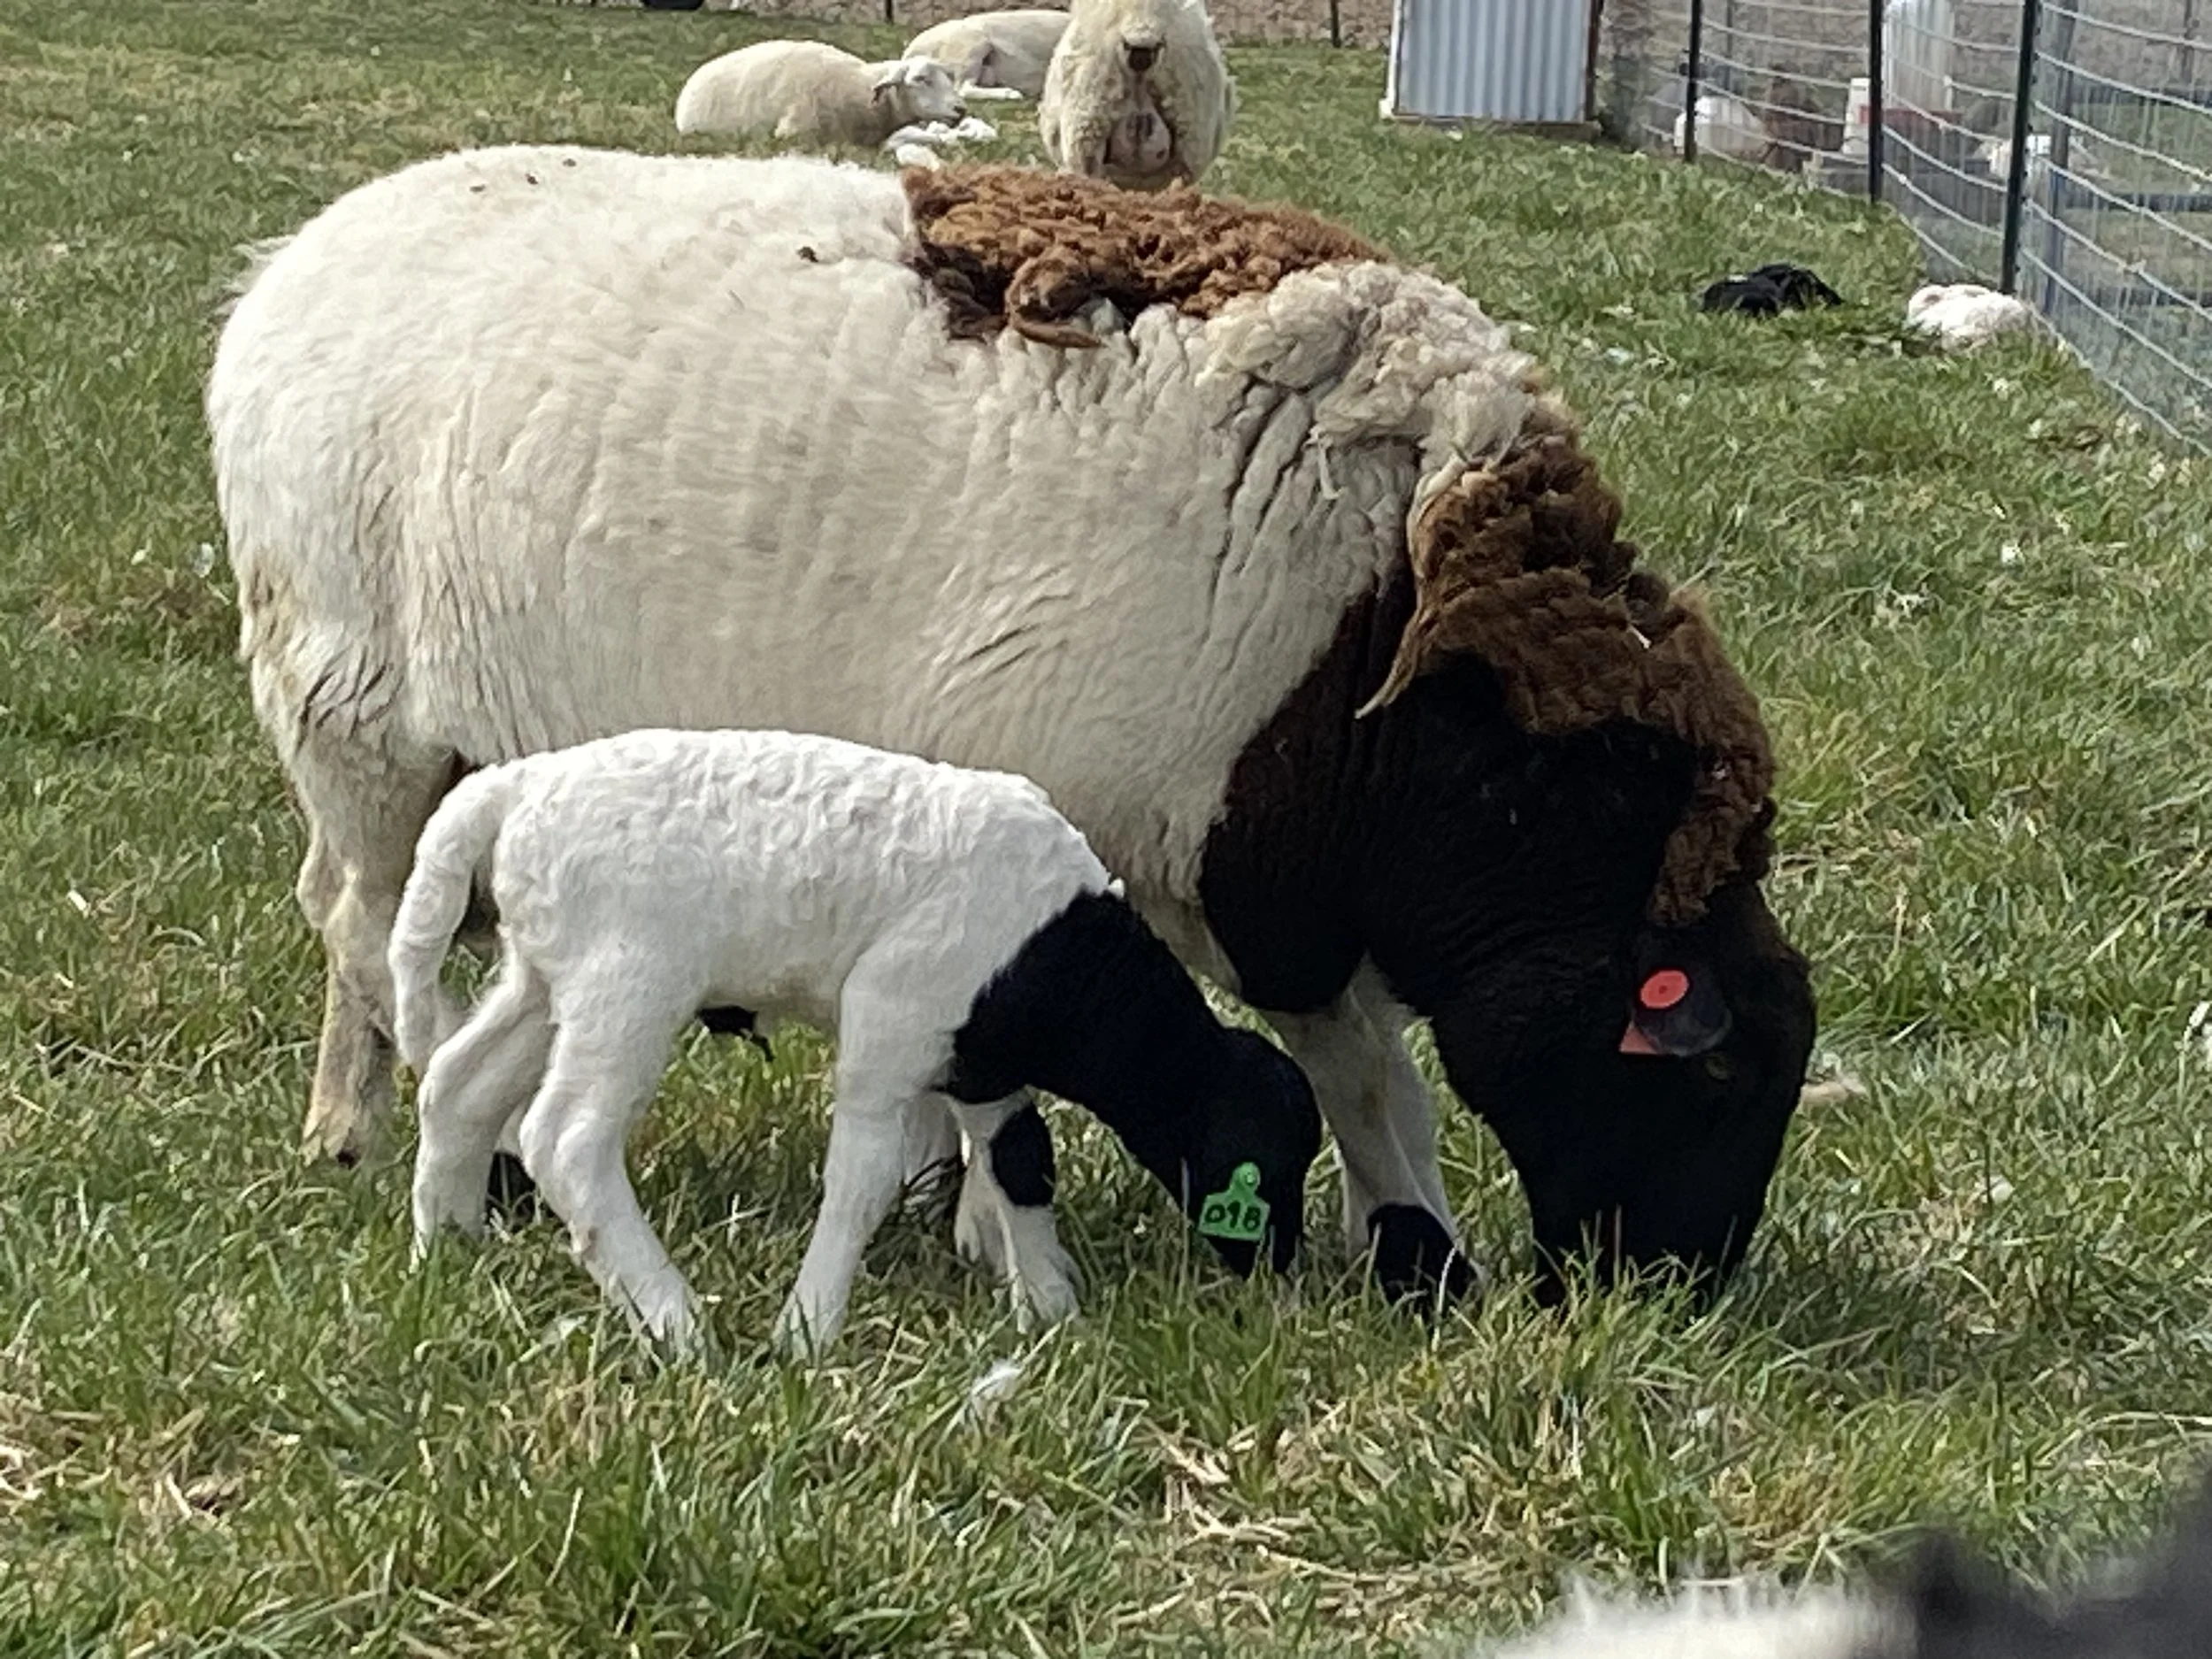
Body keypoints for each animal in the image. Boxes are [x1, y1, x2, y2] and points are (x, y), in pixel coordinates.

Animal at [390, 726, 1321, 1353]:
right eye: (1260, 1164)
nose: (1278, 1270)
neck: (1059, 956)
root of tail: (511, 791)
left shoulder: (974, 1061)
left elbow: (1022, 1159)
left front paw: (1050, 1307)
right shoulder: (890, 1017)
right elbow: (864, 1179)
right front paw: (807, 1330)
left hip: (547, 977)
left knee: (458, 1085)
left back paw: (446, 1250)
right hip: (628, 982)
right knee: (567, 1139)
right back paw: (677, 1326)